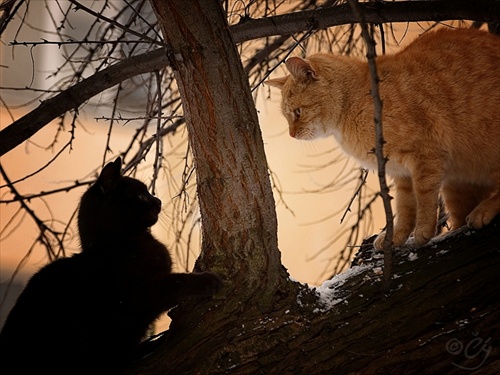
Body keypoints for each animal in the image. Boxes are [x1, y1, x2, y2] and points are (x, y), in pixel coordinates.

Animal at [266, 28, 500, 250]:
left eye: (297, 112)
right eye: (287, 116)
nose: (292, 134)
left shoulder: (425, 156)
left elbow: (424, 196)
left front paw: (423, 229)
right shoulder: (401, 172)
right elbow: (405, 206)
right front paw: (396, 237)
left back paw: (483, 211)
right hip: (456, 186)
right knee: (459, 217)